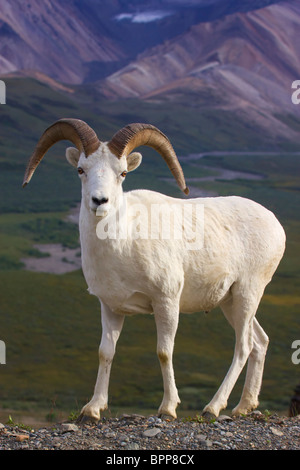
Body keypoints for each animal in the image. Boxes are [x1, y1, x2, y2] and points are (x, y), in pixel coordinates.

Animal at [22, 119, 286, 420]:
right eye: (81, 169)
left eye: (123, 173)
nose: (99, 201)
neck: (123, 243)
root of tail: (275, 223)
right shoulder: (110, 308)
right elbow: (105, 352)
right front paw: (93, 409)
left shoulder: (166, 302)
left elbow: (164, 352)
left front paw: (168, 408)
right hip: (230, 302)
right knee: (260, 341)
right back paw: (244, 406)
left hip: (247, 294)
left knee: (243, 346)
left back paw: (213, 407)